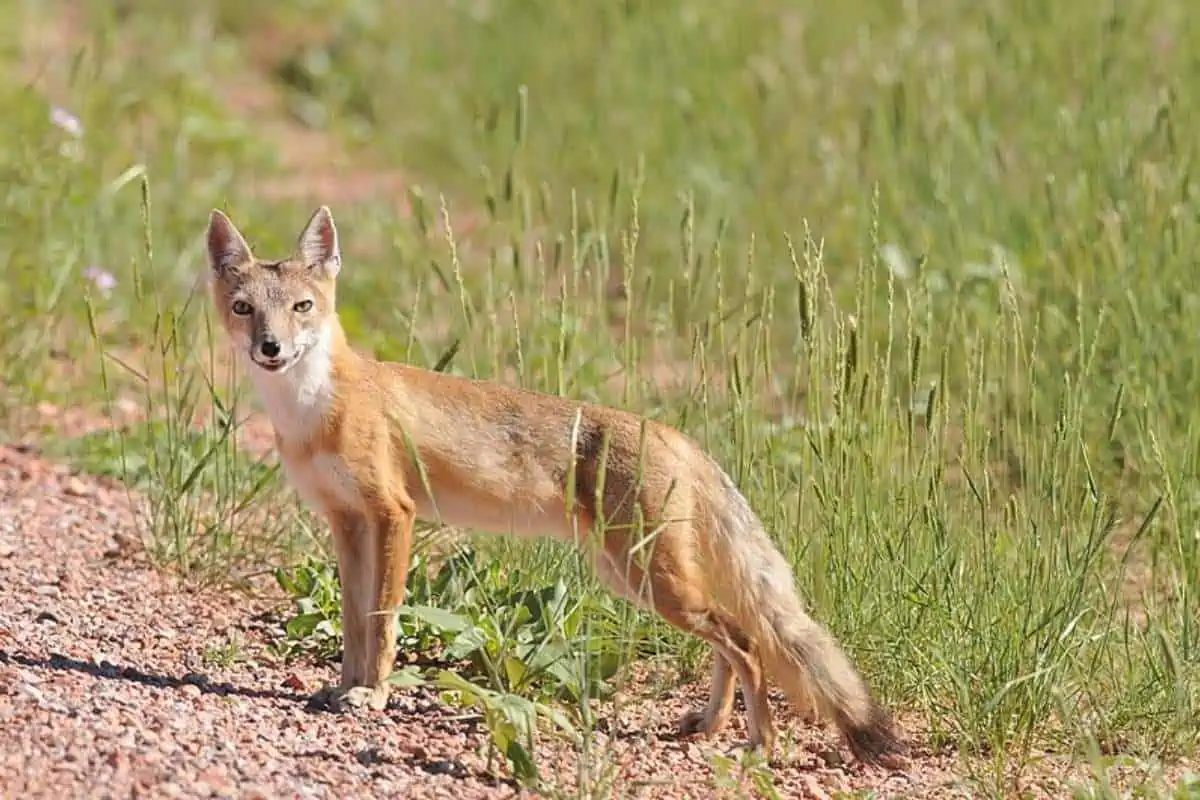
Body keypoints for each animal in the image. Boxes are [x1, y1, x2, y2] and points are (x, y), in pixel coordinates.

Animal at [206, 203, 902, 767]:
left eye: (303, 308)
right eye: (245, 309)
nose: (271, 348)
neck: (313, 410)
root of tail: (675, 434)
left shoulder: (393, 515)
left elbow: (381, 622)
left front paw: (372, 694)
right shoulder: (346, 521)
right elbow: (354, 621)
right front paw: (344, 686)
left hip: (653, 582)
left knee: (747, 641)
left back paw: (758, 745)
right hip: (635, 579)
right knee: (731, 644)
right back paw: (709, 725)